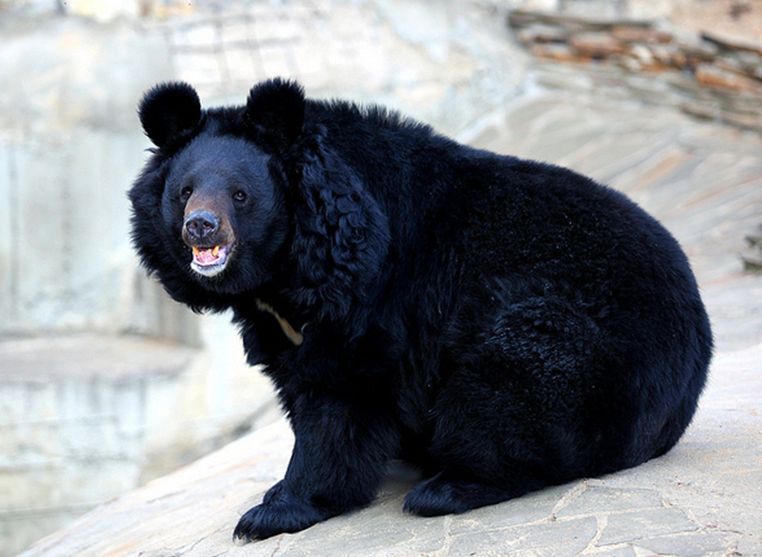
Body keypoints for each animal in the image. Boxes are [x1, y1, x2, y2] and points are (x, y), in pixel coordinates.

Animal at [129, 78, 712, 543]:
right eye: (184, 193)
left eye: (240, 194)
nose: (201, 227)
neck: (286, 267)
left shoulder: (374, 294)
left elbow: (338, 400)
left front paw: (273, 511)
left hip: (582, 353)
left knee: (509, 383)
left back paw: (447, 487)